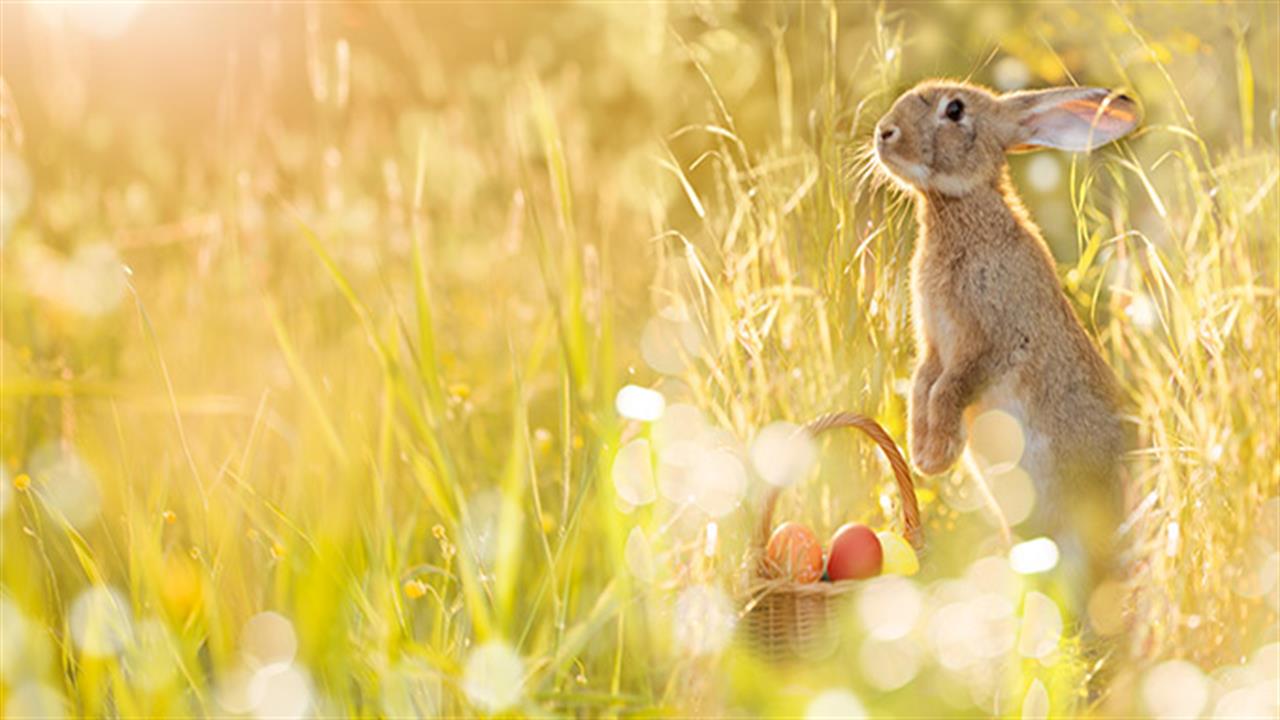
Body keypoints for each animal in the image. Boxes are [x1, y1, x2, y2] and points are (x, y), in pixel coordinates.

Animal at [870, 79, 1141, 594]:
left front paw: (936, 456)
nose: (883, 132)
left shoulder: (992, 344)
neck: (956, 207)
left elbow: (950, 388)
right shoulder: (934, 346)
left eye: (955, 110)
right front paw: (919, 451)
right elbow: (923, 385)